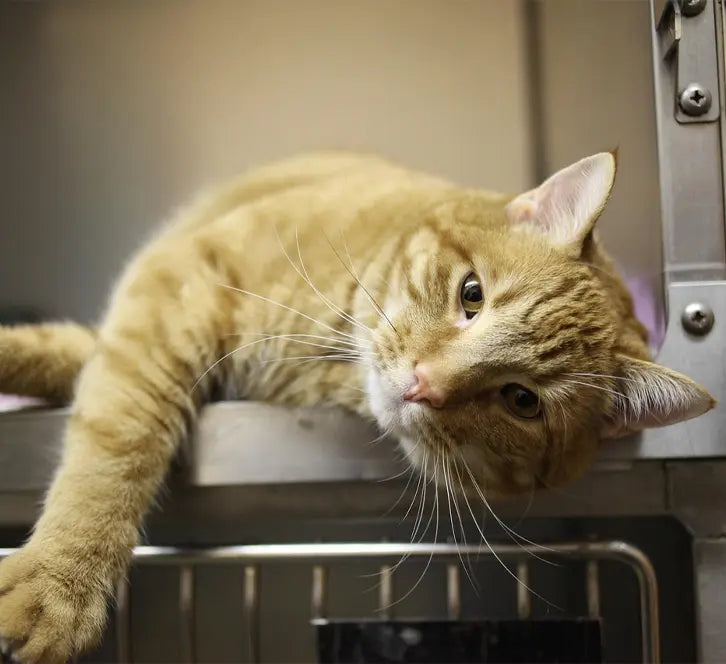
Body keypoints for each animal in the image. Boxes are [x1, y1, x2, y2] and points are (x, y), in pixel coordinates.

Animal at [0, 151, 714, 663]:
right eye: (472, 293)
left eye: (522, 401)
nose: (423, 384)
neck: (329, 355)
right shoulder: (173, 287)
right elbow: (115, 441)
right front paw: (56, 584)